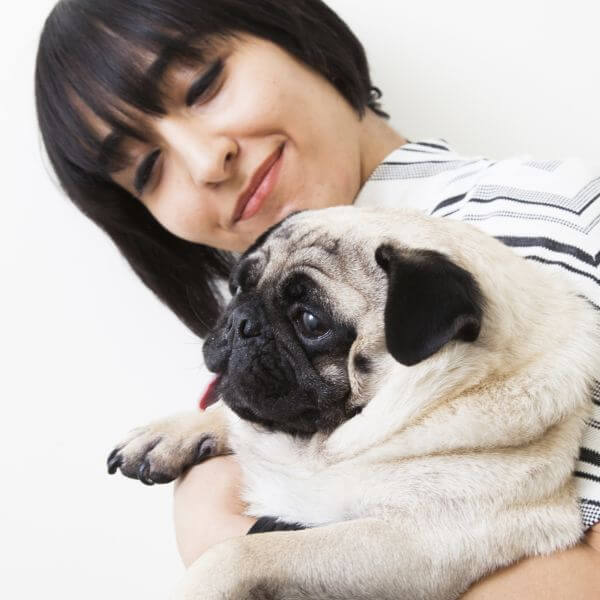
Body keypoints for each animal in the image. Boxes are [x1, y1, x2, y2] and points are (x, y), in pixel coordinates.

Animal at [106, 207, 600, 600]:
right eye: (240, 287)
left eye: (311, 322)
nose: (241, 320)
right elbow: (231, 415)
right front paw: (170, 433)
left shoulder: (418, 541)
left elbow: (241, 552)